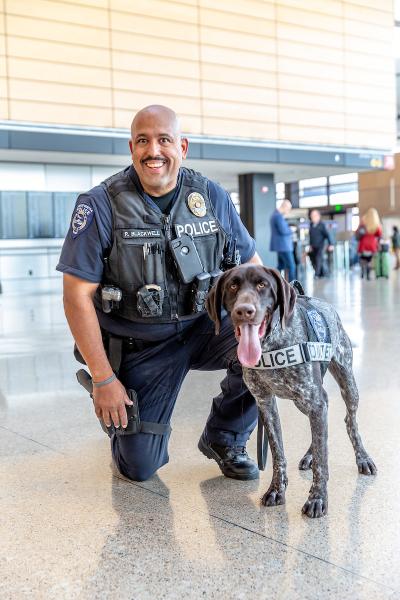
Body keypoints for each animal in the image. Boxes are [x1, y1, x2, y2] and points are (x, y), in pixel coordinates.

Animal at [206, 264, 378, 516]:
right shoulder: (266, 404)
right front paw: (277, 490)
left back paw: (362, 458)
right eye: (232, 286)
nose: (244, 311)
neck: (272, 345)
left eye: (262, 284)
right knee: (321, 432)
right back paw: (309, 455)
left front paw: (317, 498)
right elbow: (279, 452)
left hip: (347, 384)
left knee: (350, 422)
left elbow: (322, 460)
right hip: (305, 402)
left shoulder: (315, 401)